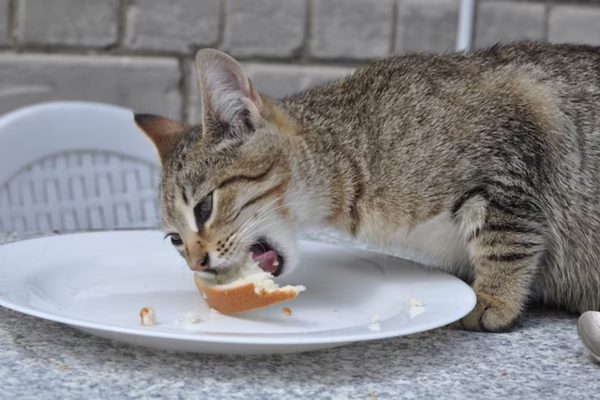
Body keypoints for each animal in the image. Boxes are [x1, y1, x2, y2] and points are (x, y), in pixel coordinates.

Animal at [134, 41, 600, 332]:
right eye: (174, 239)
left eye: (203, 207)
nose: (196, 262)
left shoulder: (510, 147)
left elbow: (506, 238)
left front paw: (492, 298)